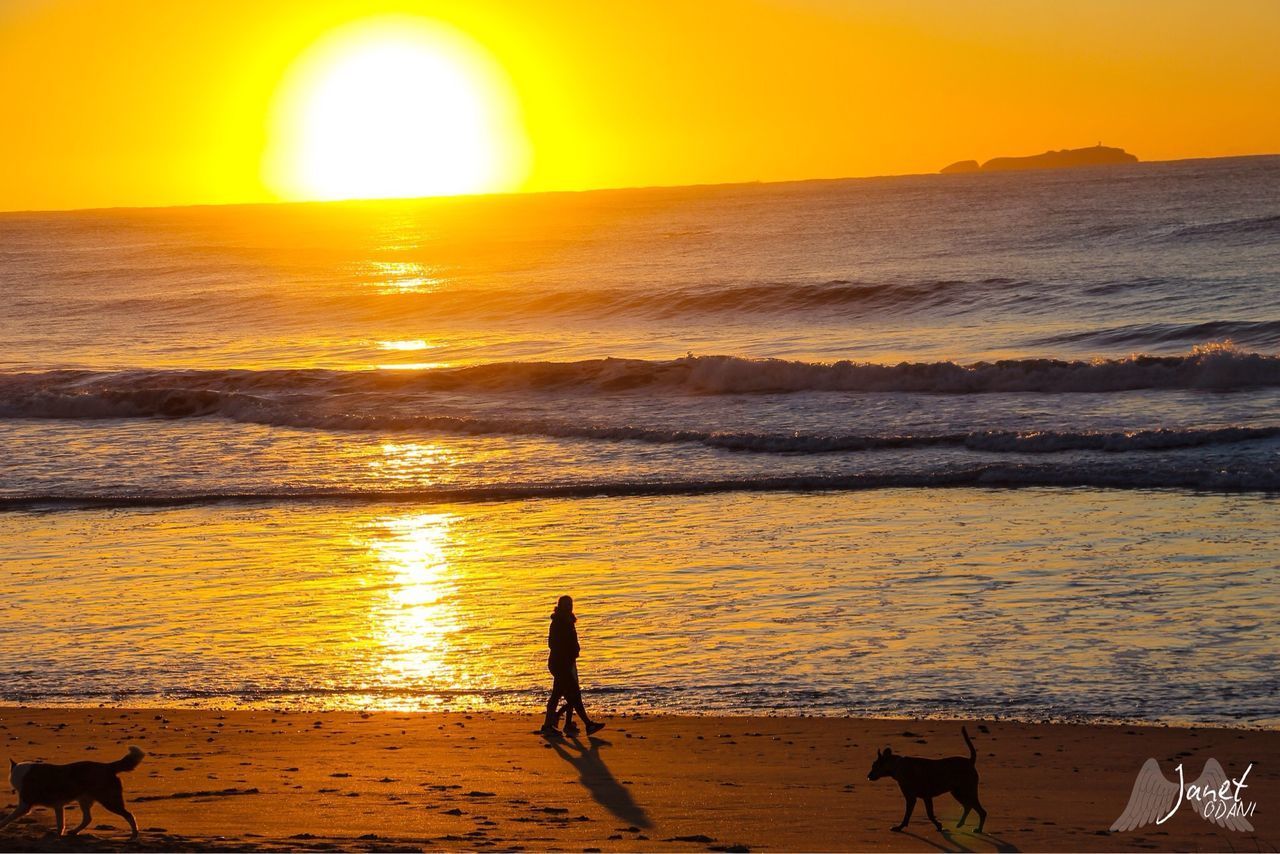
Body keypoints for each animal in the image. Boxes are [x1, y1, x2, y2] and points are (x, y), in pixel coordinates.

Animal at [0, 747, 144, 839]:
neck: (21, 773)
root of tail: (107, 766)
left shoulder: (25, 805)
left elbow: (9, 817)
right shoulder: (58, 805)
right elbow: (60, 823)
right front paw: (58, 835)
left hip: (109, 800)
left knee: (129, 815)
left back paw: (134, 834)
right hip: (84, 800)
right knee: (87, 818)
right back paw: (74, 831)